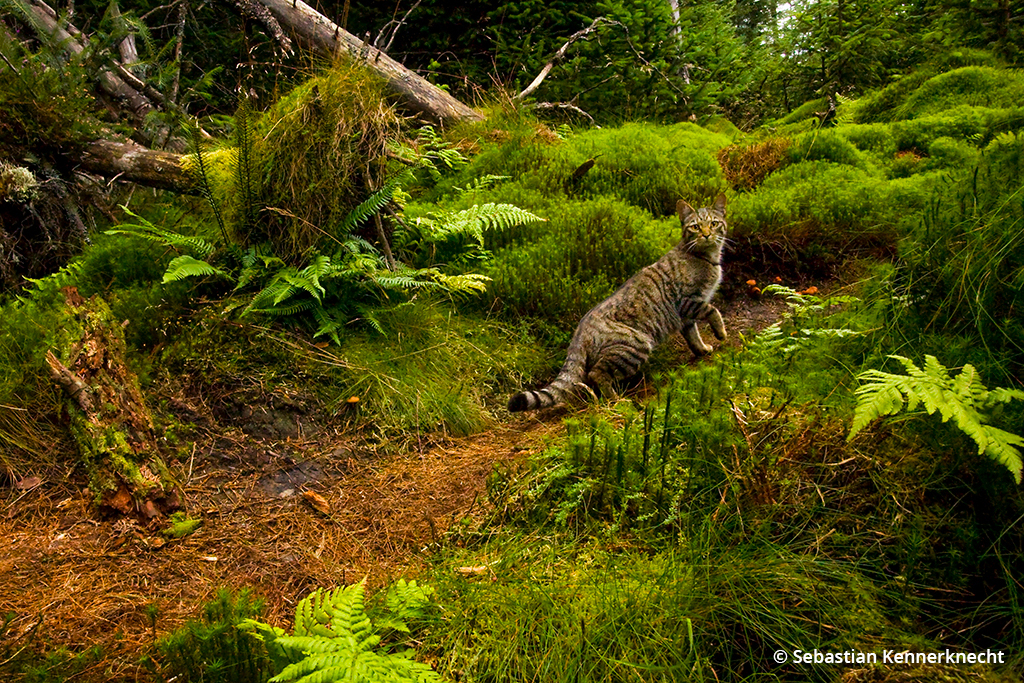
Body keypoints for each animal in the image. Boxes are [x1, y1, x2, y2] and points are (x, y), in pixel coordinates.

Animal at [505, 194, 729, 413]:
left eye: (714, 223)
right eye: (695, 227)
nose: (706, 234)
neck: (704, 257)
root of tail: (578, 333)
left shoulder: (687, 316)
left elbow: (693, 336)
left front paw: (702, 349)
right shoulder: (689, 301)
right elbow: (714, 311)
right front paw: (721, 333)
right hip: (635, 346)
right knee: (597, 374)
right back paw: (617, 401)